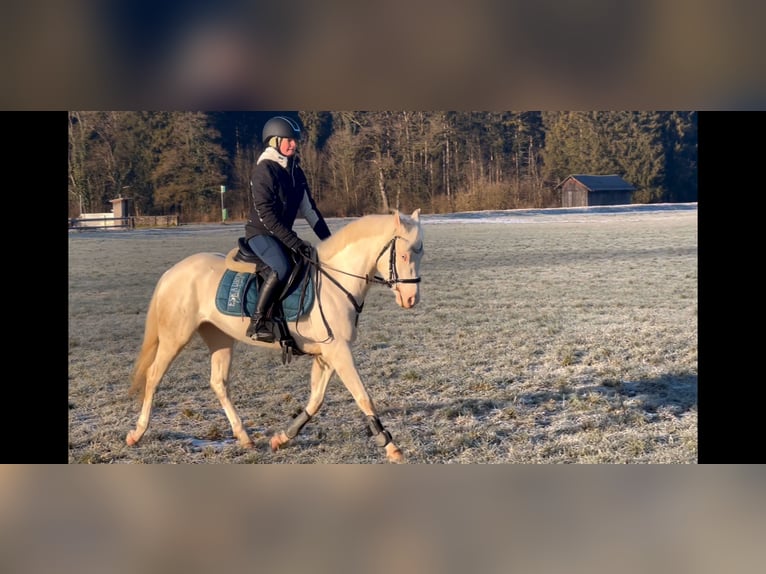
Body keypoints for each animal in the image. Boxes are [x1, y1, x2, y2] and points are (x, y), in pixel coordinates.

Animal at [126, 208, 426, 464]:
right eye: (403, 255)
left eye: (419, 254)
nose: (411, 299)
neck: (335, 284)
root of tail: (172, 272)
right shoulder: (339, 352)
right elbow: (363, 396)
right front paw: (391, 447)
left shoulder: (328, 354)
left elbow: (316, 400)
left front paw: (282, 438)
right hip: (174, 338)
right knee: (154, 376)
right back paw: (137, 433)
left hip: (220, 338)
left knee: (219, 383)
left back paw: (244, 437)